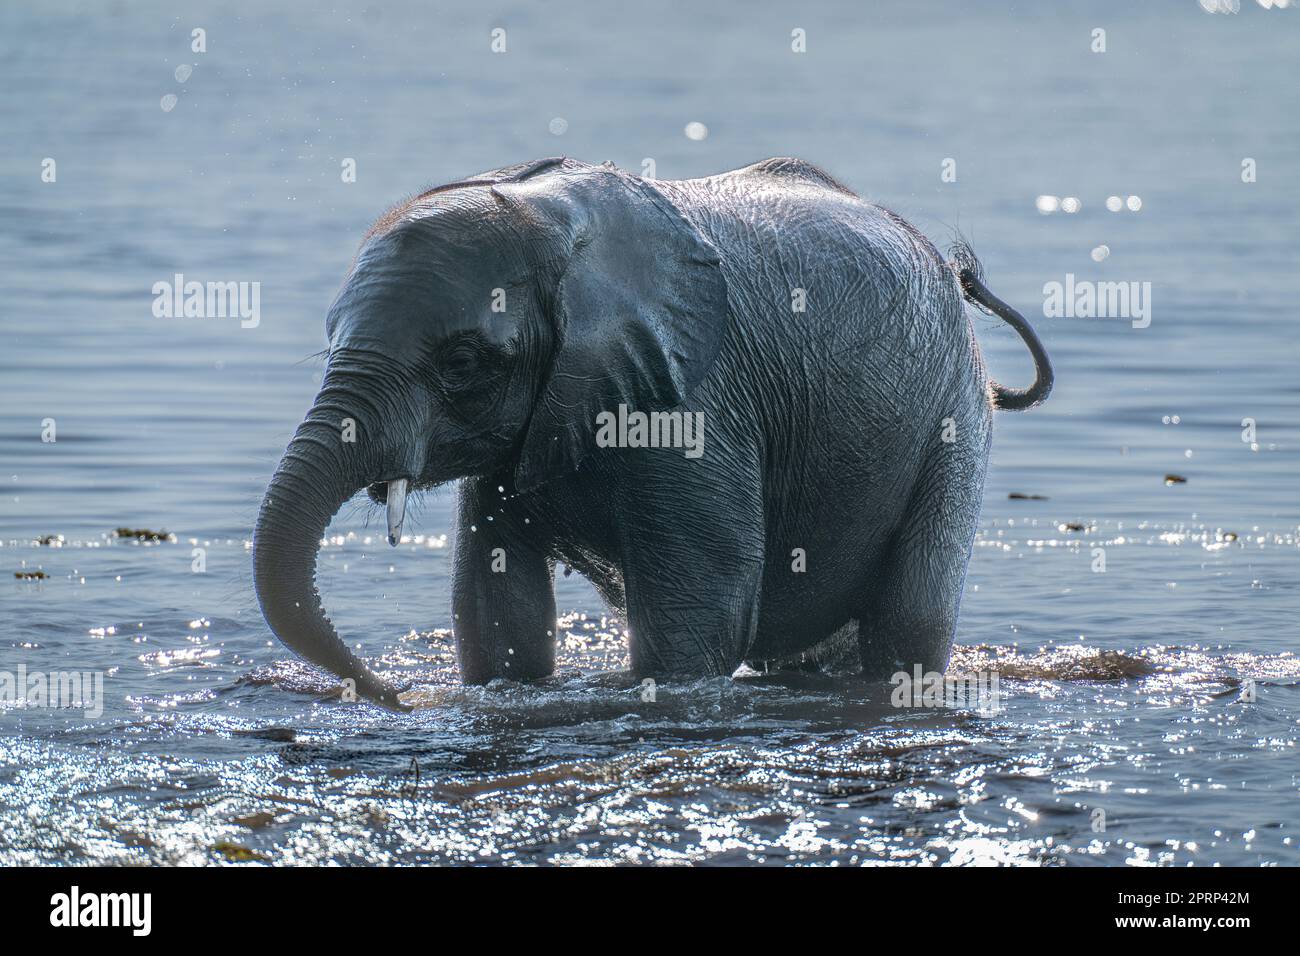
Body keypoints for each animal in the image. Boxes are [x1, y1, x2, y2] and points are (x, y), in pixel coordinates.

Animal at [252, 155, 1052, 711]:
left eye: (462, 363)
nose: (393, 696)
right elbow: (499, 611)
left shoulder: (696, 406)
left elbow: (699, 624)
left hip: (952, 423)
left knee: (908, 626)